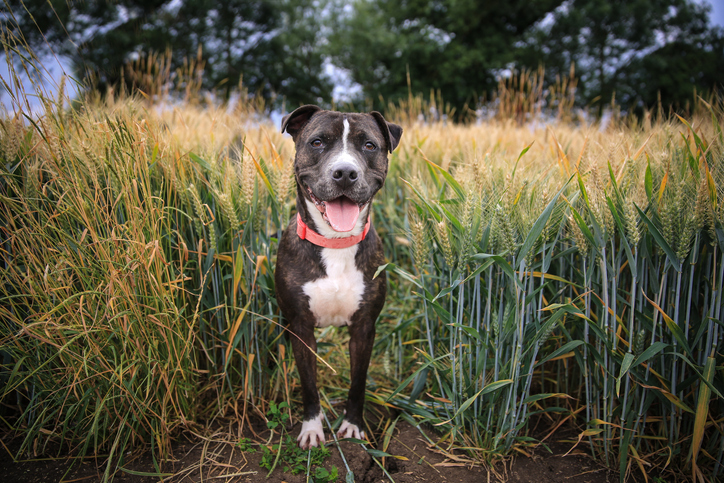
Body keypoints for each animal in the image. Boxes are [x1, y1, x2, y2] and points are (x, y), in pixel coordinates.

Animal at [276, 105, 402, 450]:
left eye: (369, 145)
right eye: (318, 142)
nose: (345, 173)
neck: (336, 242)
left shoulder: (364, 328)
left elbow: (358, 382)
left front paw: (353, 426)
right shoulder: (301, 328)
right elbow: (309, 384)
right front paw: (311, 428)